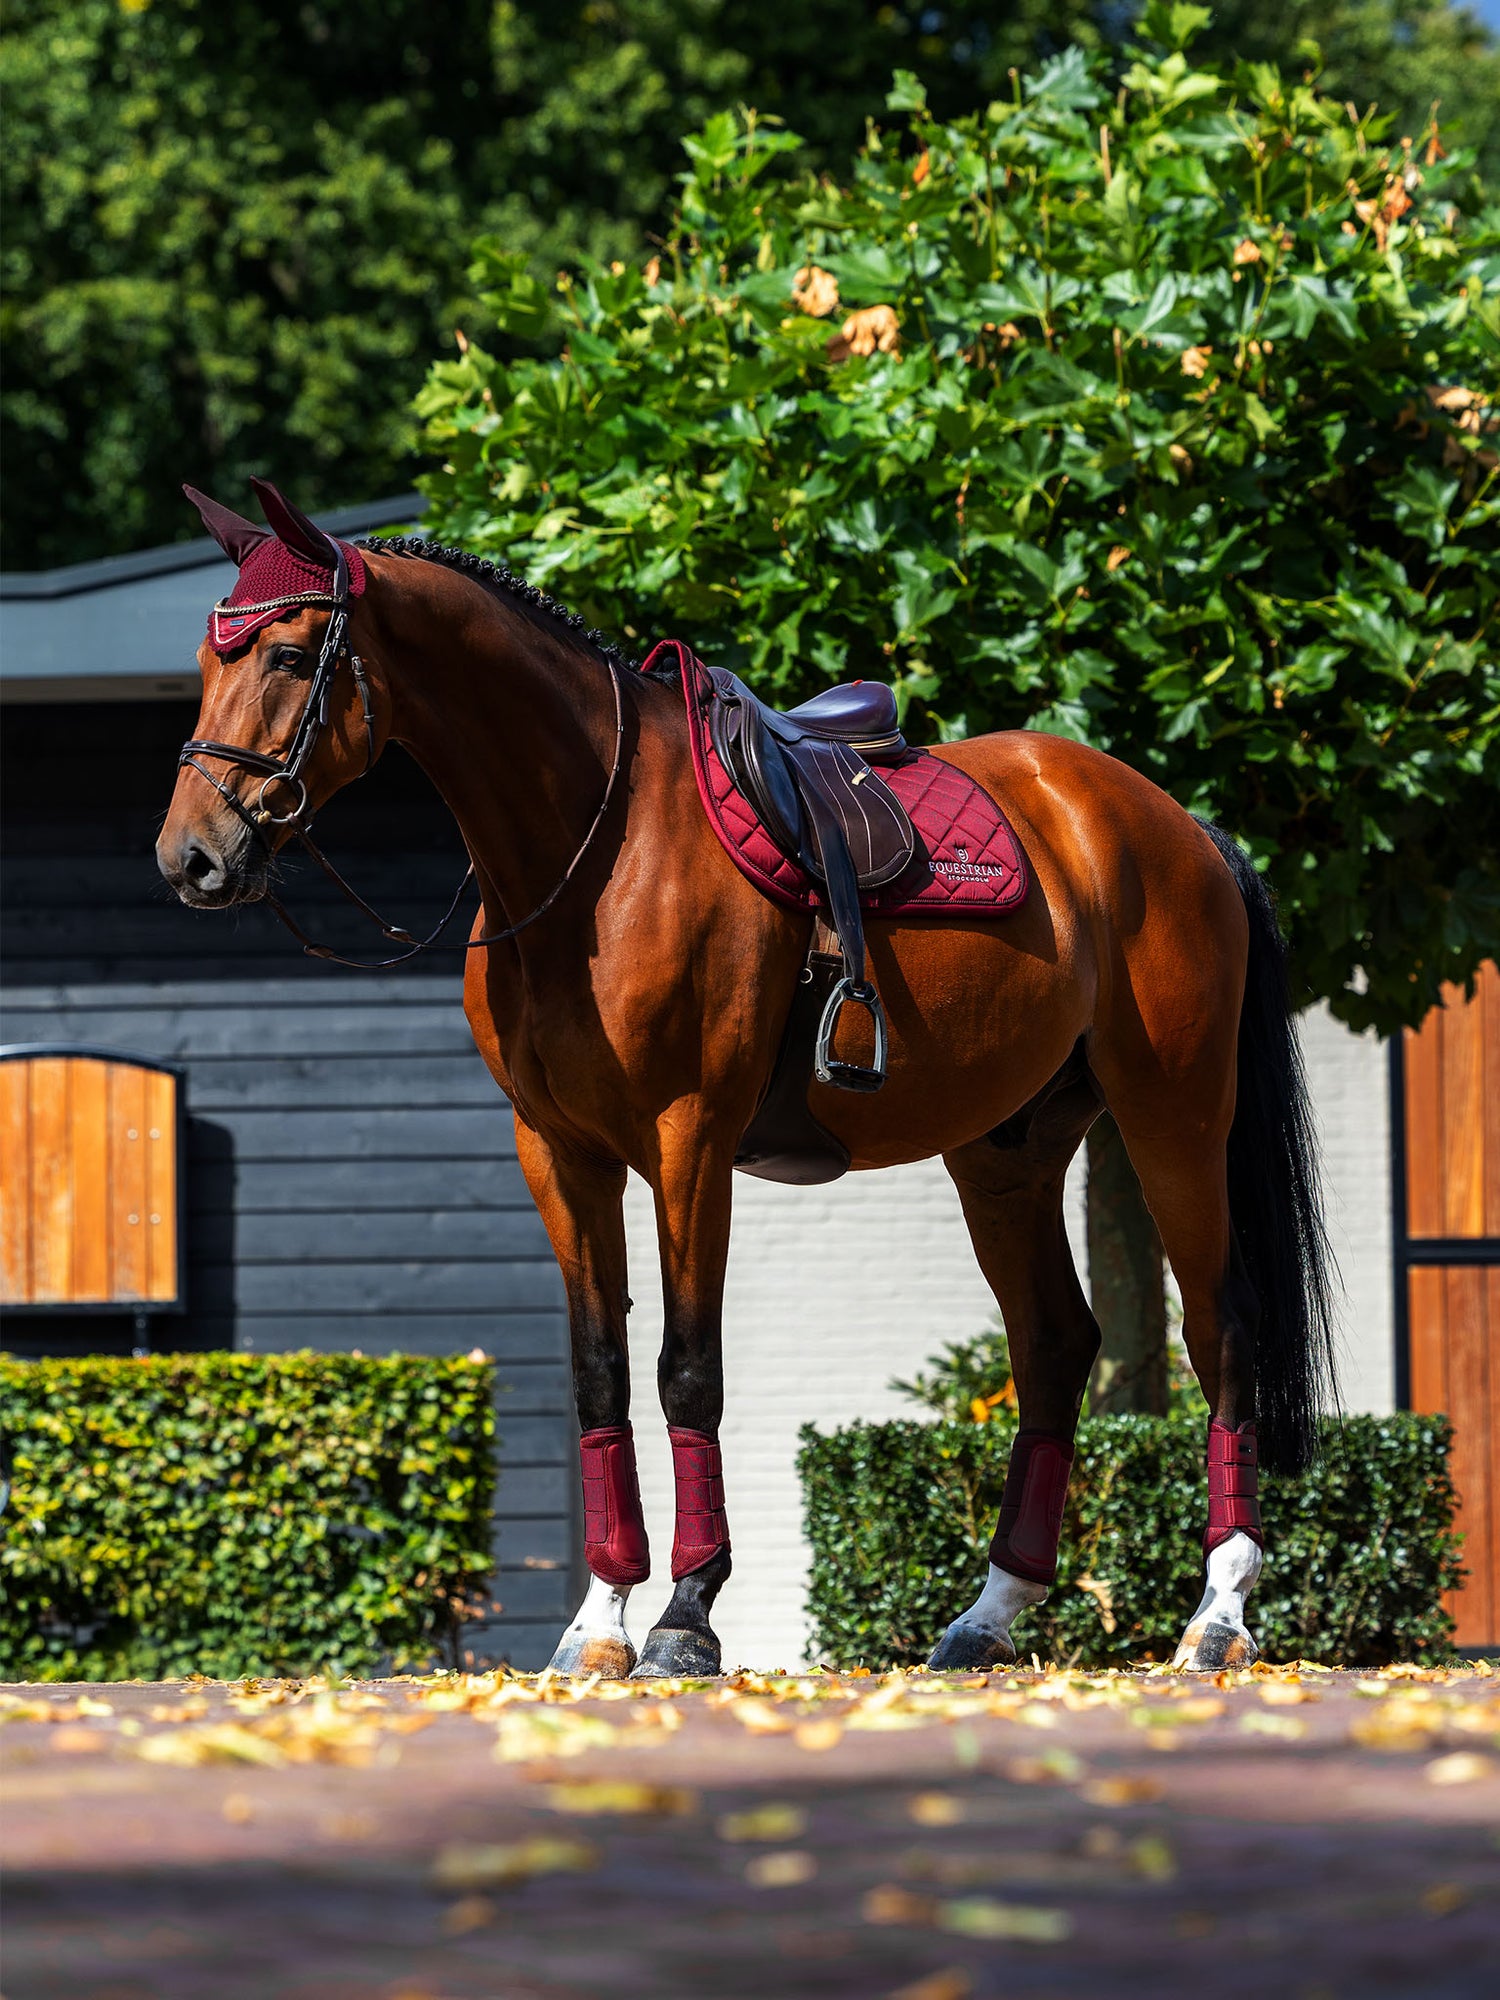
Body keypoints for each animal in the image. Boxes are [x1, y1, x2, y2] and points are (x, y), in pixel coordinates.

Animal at [157, 481, 1336, 1679]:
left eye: (291, 655)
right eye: (206, 660)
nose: (191, 857)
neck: (598, 850)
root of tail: (1175, 824)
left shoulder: (691, 1140)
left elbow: (688, 1366)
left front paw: (685, 1614)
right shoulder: (559, 1152)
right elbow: (598, 1370)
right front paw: (598, 1622)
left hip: (1172, 1115)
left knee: (1221, 1329)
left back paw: (1218, 1614)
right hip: (1006, 1152)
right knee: (1054, 1344)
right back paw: (989, 1614)